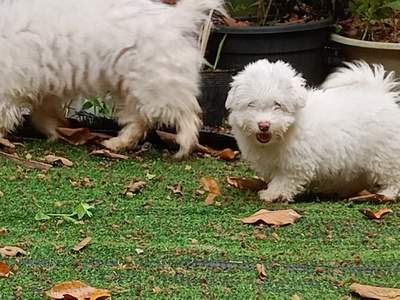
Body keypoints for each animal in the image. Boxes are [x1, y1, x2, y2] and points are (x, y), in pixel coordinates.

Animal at [0, 0, 222, 158]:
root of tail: (176, 19)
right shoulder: (44, 88)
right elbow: (43, 115)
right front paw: (53, 132)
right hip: (133, 89)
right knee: (139, 120)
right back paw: (117, 144)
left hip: (155, 87)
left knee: (186, 114)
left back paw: (184, 146)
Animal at [227, 59, 400, 202]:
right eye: (251, 104)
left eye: (278, 105)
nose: (264, 125)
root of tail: (380, 94)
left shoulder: (296, 164)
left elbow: (285, 180)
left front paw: (272, 194)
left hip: (385, 155)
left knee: (393, 176)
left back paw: (387, 194)